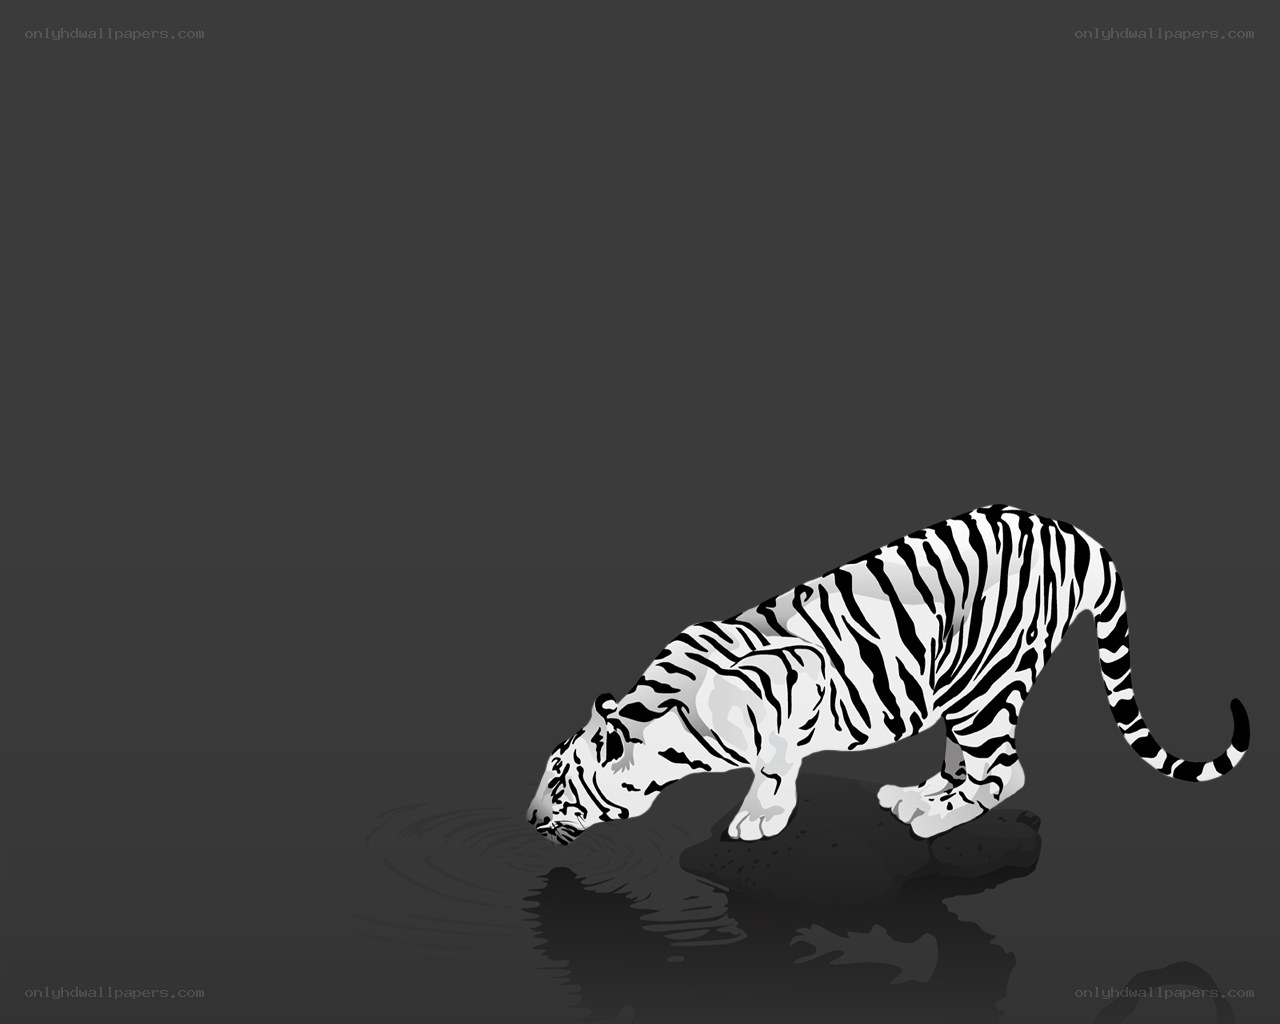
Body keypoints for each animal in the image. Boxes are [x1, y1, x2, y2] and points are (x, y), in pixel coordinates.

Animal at [527, 505, 1250, 844]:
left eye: (559, 783)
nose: (529, 820)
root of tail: (1072, 533)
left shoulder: (800, 675)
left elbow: (775, 762)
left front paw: (761, 817)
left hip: (986, 688)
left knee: (1005, 773)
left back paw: (933, 818)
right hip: (964, 686)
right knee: (968, 762)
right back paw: (919, 794)